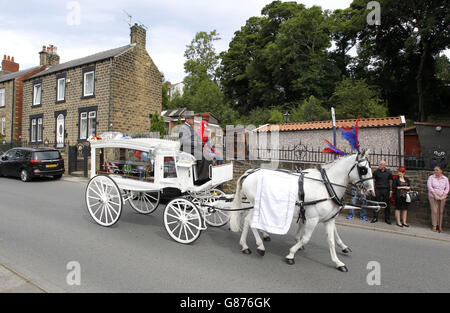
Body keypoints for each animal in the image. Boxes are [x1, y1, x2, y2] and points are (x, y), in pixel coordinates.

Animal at [230, 151, 374, 270]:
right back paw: (259, 246)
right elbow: (306, 238)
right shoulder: (312, 219)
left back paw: (245, 245)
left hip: (255, 206)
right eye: (363, 169)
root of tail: (250, 173)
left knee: (248, 221)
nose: (371, 191)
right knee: (251, 222)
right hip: (256, 205)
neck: (326, 186)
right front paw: (291, 254)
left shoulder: (328, 220)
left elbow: (331, 241)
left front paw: (338, 262)